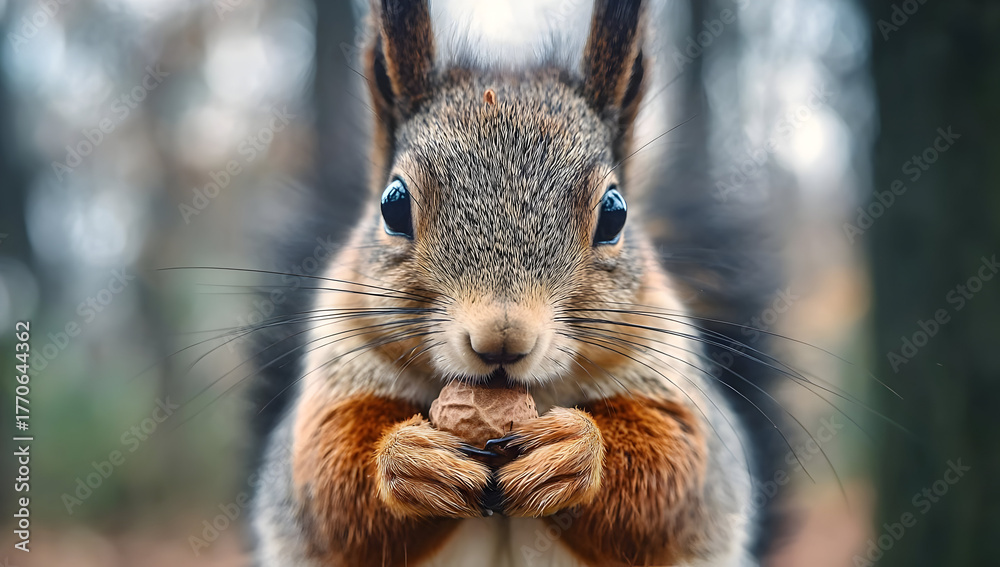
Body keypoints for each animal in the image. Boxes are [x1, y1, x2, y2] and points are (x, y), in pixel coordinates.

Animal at [250, 1, 770, 565]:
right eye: (392, 204)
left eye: (615, 214)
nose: (503, 339)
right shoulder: (337, 370)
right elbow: (325, 481)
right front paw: (408, 458)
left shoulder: (669, 377)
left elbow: (677, 467)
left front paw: (576, 451)